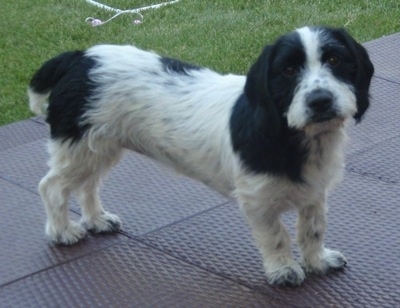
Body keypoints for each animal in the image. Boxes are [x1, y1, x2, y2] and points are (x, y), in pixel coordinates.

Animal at [28, 25, 376, 286]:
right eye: (288, 70)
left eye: (335, 60)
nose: (320, 100)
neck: (292, 134)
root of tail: (79, 59)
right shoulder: (258, 202)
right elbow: (276, 236)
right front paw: (284, 270)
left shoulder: (314, 192)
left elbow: (312, 230)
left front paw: (317, 261)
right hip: (79, 148)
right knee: (51, 187)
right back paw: (62, 231)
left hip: (98, 148)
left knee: (88, 185)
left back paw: (96, 220)